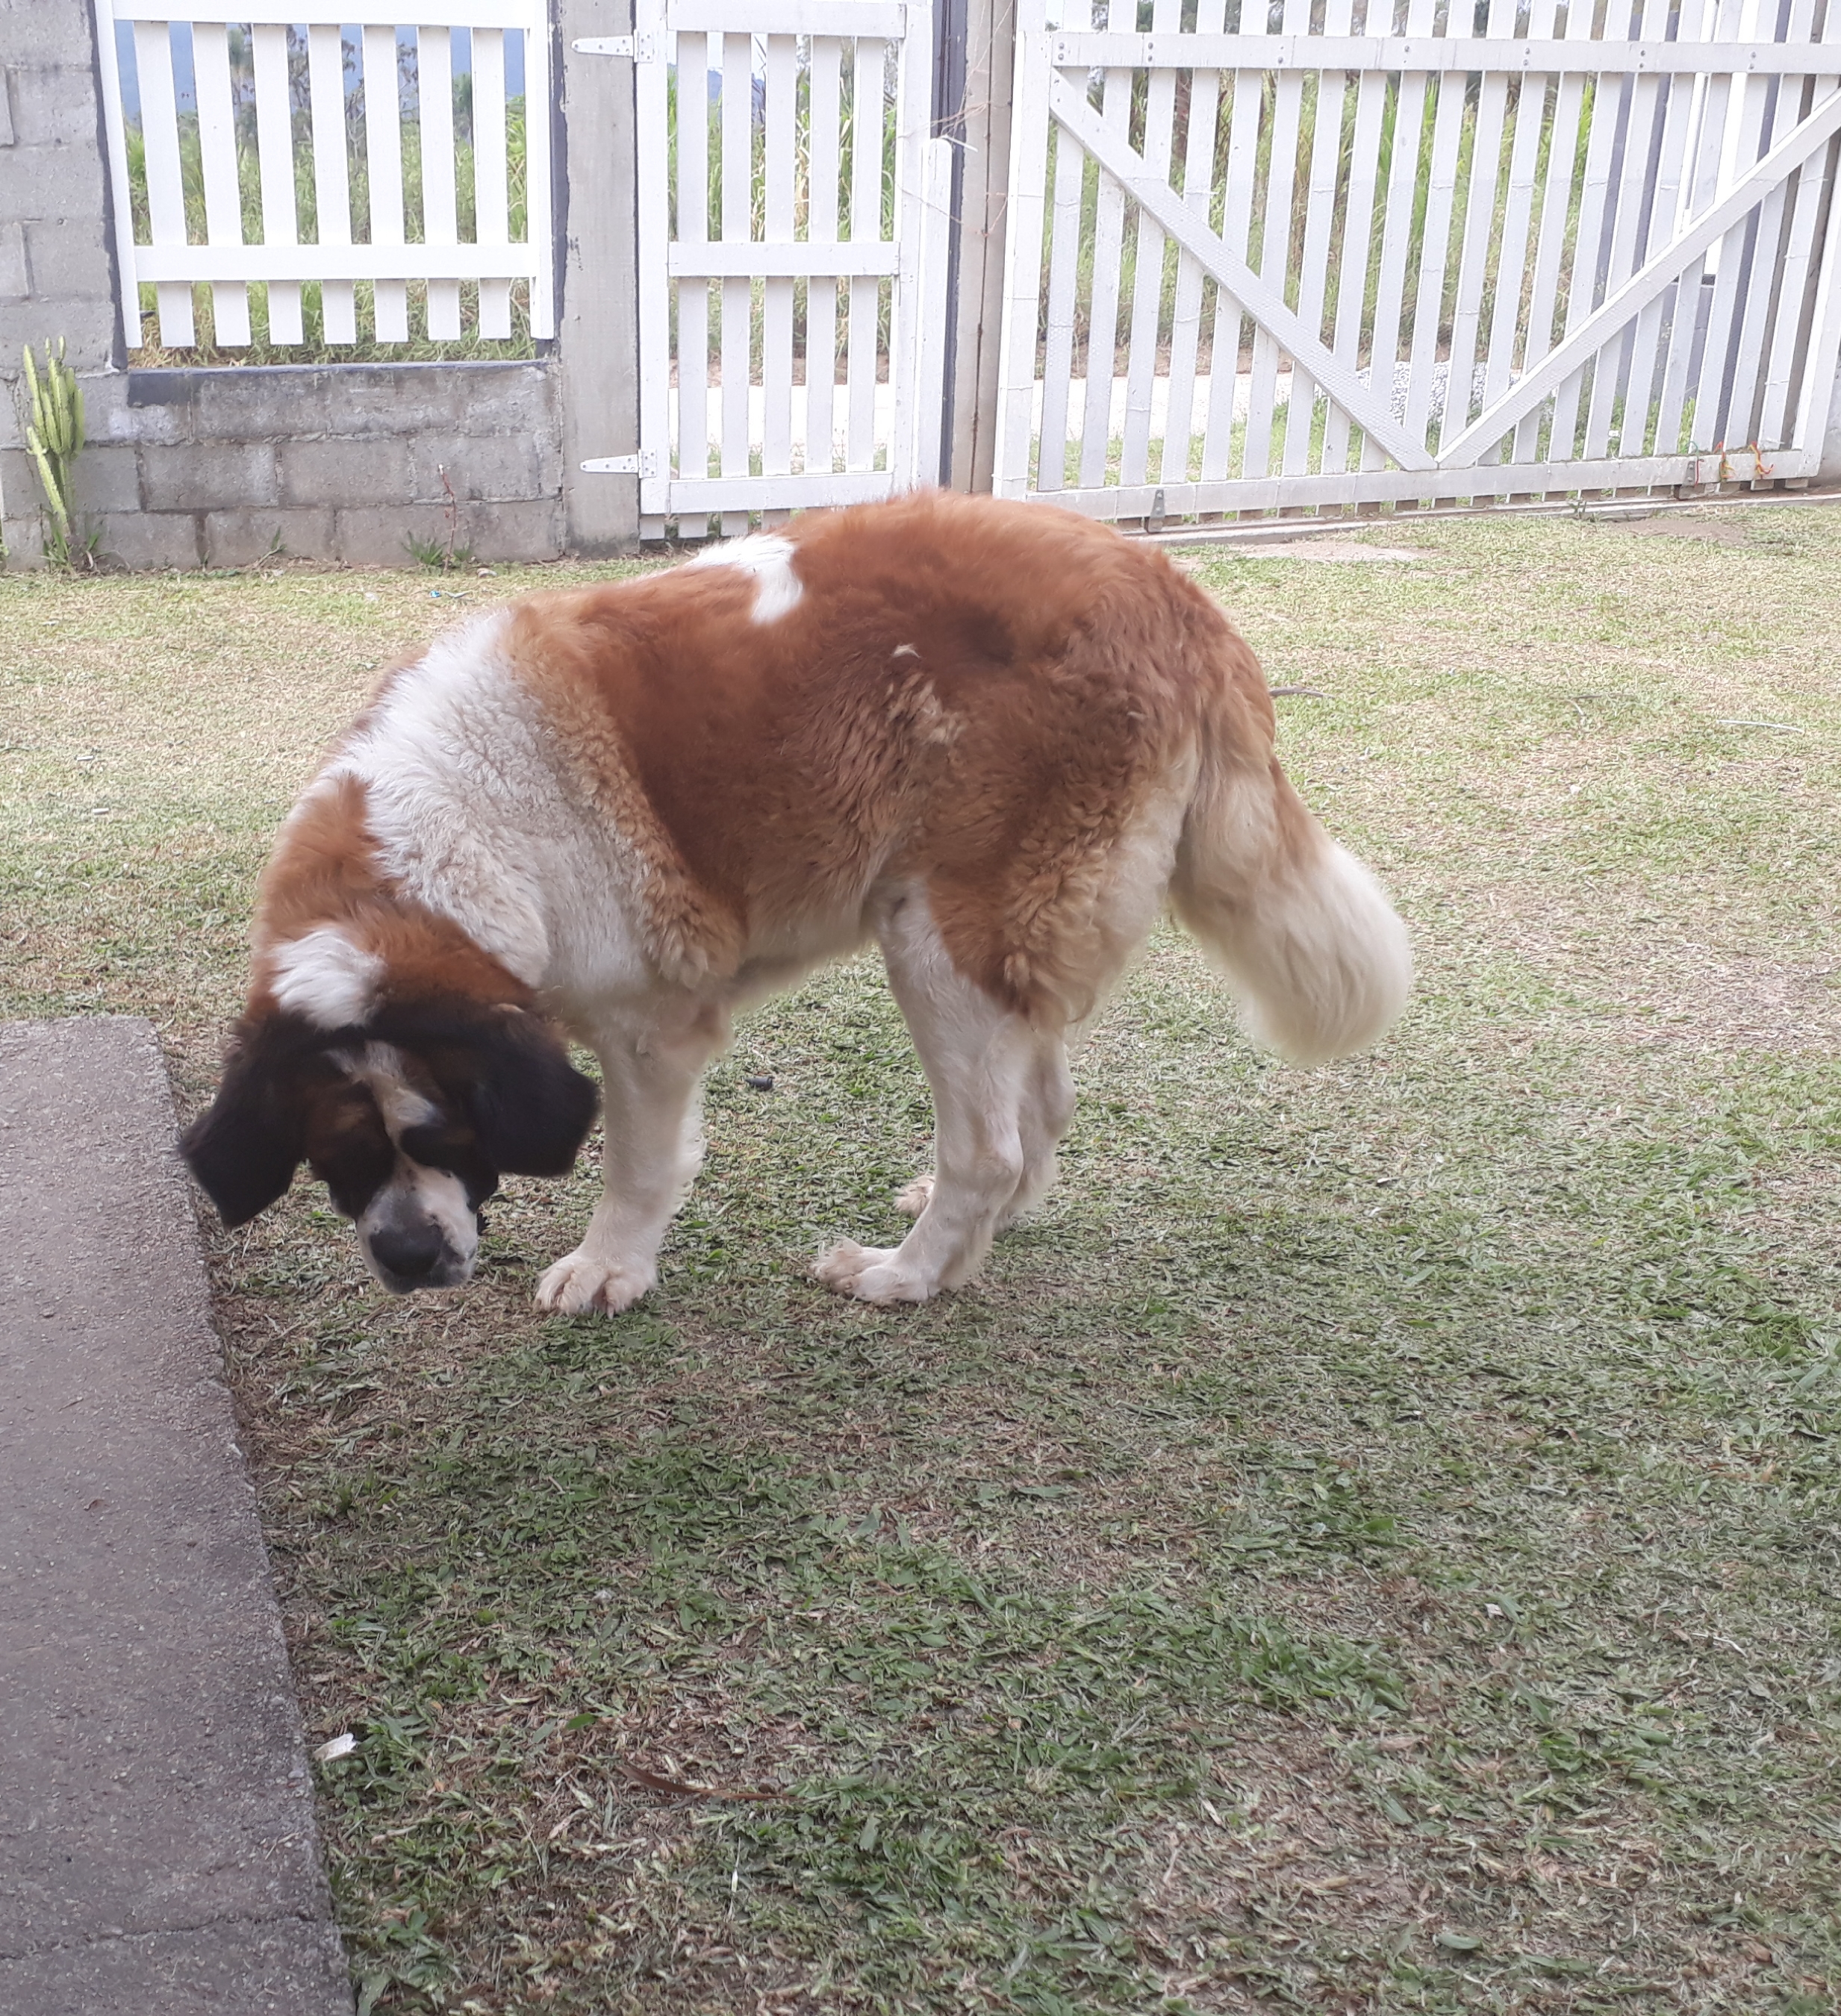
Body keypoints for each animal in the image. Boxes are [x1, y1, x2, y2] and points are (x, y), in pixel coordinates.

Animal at [181, 493, 1410, 1310]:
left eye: (448, 1132)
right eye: (336, 1162)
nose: (407, 1257)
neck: (457, 828)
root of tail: (1177, 591)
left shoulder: (648, 1027)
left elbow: (638, 1163)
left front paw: (609, 1268)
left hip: (938, 939)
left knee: (988, 1145)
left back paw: (906, 1277)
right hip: (1007, 935)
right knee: (1040, 1107)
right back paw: (981, 1224)